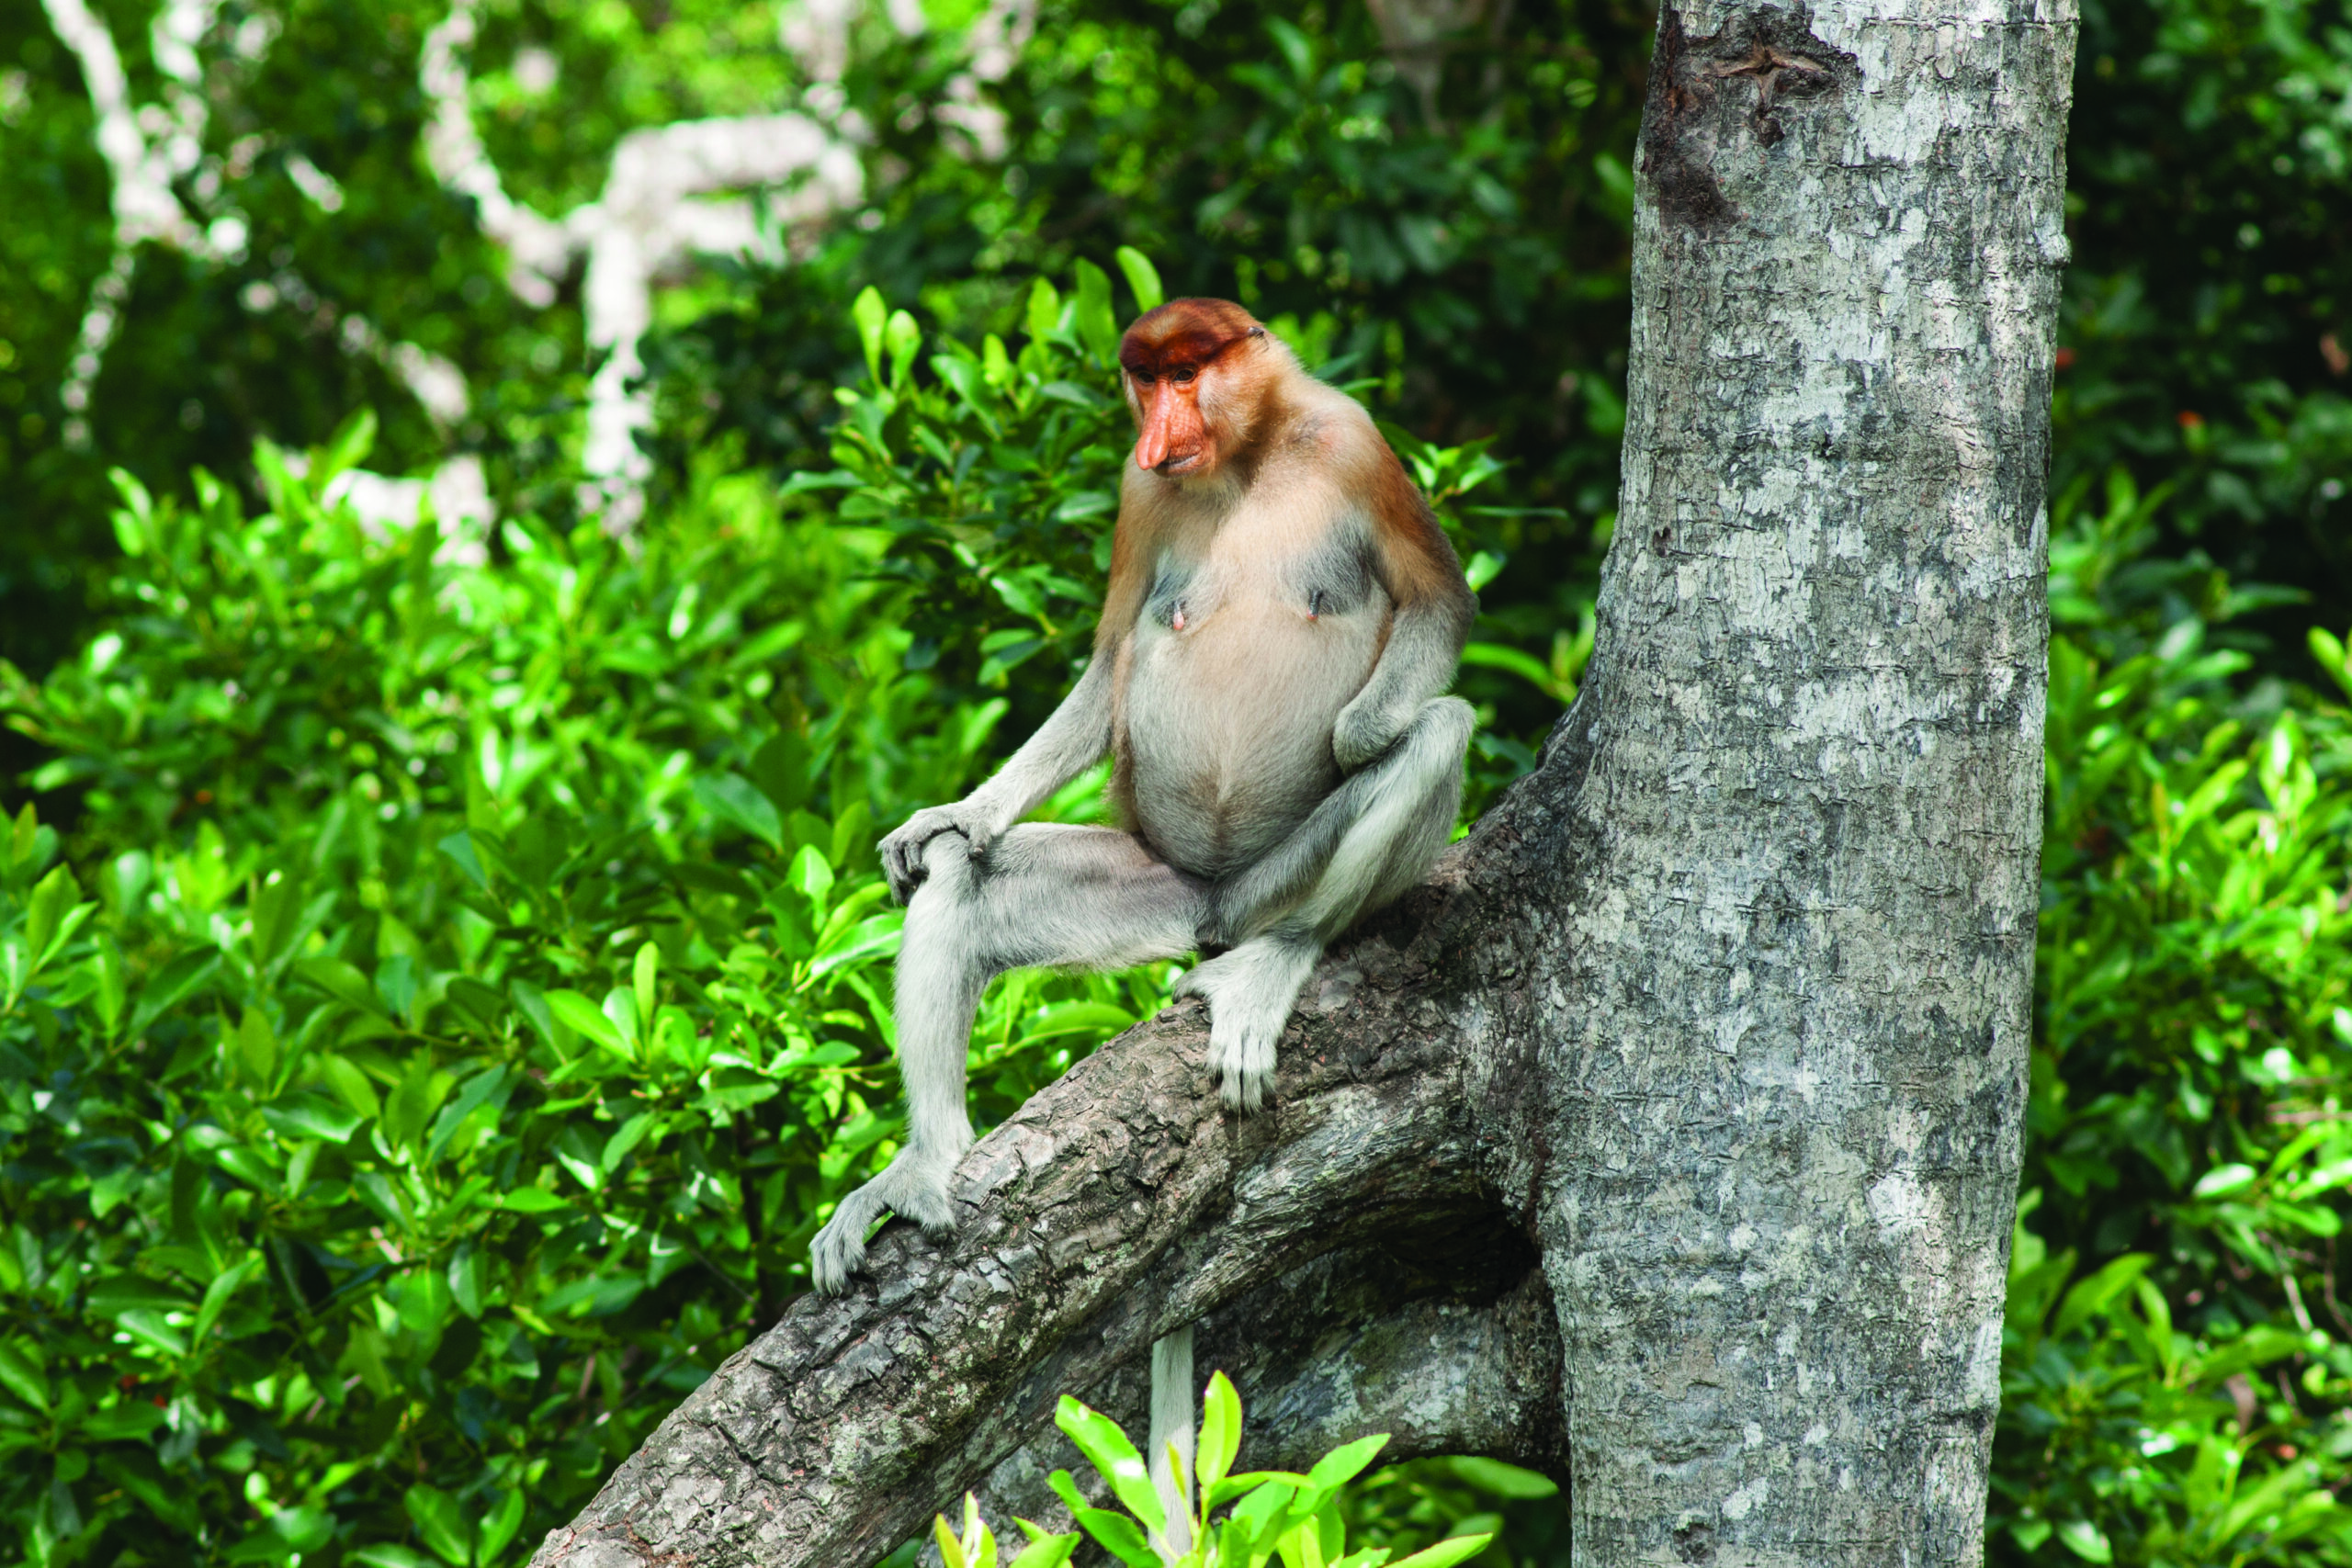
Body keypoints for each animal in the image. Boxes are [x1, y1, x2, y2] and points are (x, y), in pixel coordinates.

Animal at [809, 301, 1476, 1492]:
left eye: (1188, 371)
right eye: (1144, 381)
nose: (1164, 426)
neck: (1243, 461)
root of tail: (1212, 906)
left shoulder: (1356, 443)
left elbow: (1438, 603)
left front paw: (1358, 730)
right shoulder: (1137, 489)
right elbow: (1115, 649)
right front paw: (956, 813)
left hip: (1273, 880)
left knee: (1436, 730)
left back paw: (1272, 963)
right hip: (1152, 885)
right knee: (966, 879)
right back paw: (925, 1162)